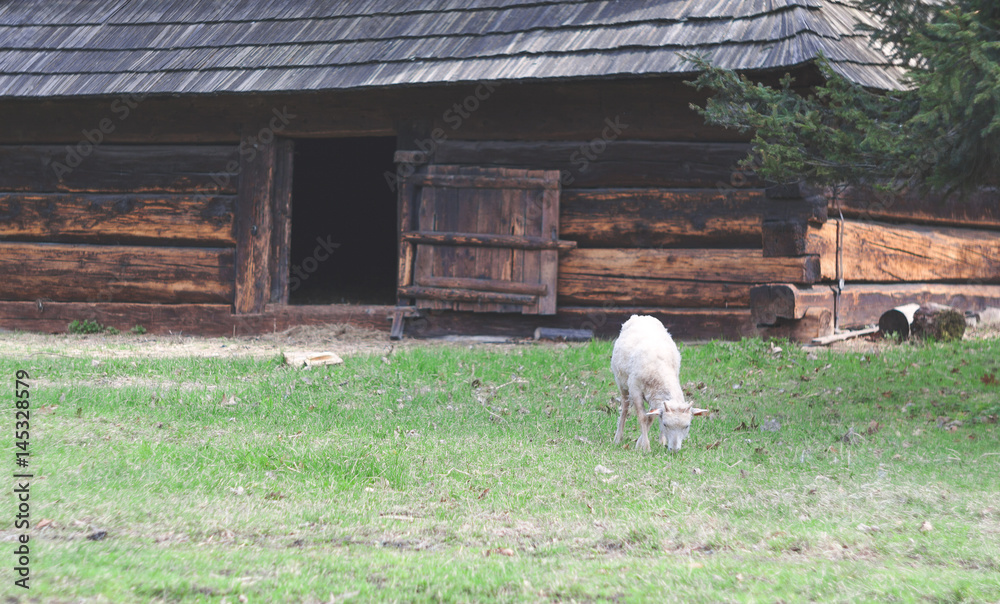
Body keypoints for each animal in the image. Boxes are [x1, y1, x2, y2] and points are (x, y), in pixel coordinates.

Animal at [612, 314, 708, 450]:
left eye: (687, 426)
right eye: (665, 424)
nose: (674, 450)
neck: (661, 370)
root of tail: (641, 316)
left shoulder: (656, 396)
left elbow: (651, 417)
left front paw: (640, 443)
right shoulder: (635, 389)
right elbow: (643, 417)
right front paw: (645, 447)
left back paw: (661, 440)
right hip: (622, 384)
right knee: (625, 408)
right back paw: (618, 437)